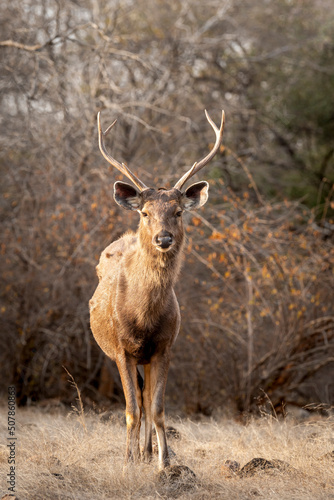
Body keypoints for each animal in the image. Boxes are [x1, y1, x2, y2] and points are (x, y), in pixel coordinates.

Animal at [89, 108, 224, 468]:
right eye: (146, 212)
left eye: (177, 211)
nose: (164, 238)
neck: (143, 319)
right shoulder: (121, 349)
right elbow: (131, 411)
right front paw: (126, 462)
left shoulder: (164, 347)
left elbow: (158, 408)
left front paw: (165, 462)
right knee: (138, 400)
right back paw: (137, 453)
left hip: (148, 358)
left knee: (148, 399)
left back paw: (148, 453)